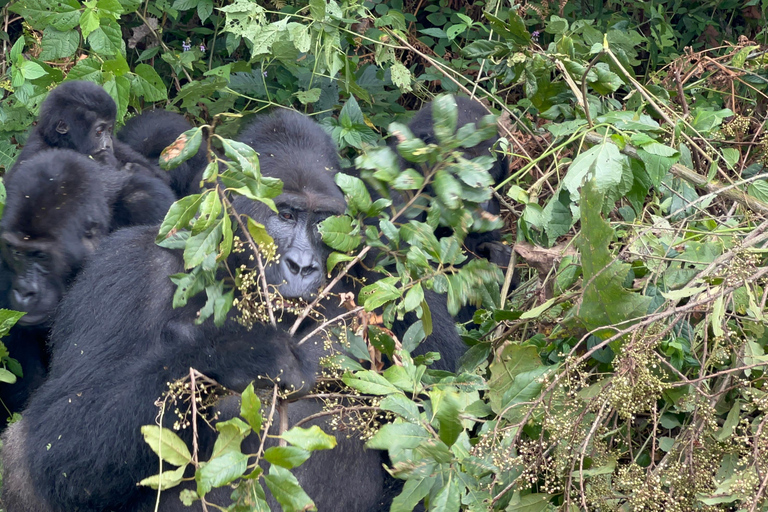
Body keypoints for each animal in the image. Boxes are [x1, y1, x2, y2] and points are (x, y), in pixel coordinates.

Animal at [8, 80, 176, 228]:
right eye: (99, 132)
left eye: (109, 130)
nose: (107, 144)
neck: (60, 143)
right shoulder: (35, 152)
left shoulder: (117, 145)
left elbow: (163, 177)